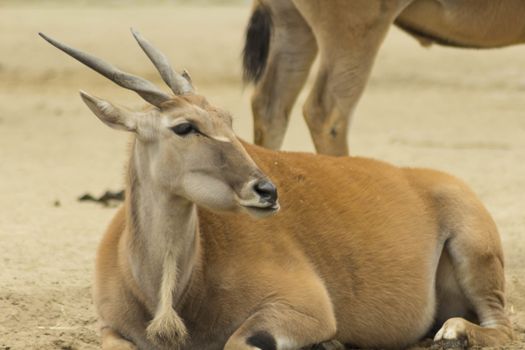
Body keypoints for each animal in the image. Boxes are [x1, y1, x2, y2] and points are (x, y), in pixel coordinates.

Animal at [40, 31, 512, 348]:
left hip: (476, 255)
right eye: (185, 126)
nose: (266, 190)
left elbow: (240, 340)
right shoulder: (110, 329)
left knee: (501, 326)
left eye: (228, 121)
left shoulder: (302, 309)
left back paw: (454, 332)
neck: (170, 291)